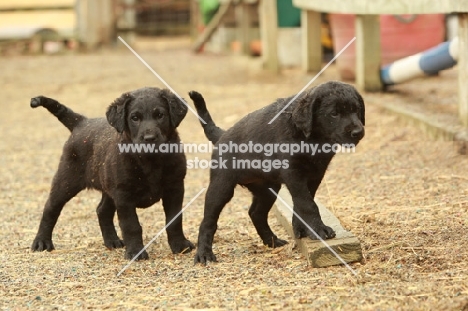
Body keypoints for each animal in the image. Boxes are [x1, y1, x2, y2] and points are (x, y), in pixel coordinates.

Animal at [29, 86, 194, 260]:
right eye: (135, 118)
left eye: (160, 115)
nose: (149, 138)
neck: (150, 162)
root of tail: (81, 122)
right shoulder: (124, 195)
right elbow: (131, 225)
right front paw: (135, 252)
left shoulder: (174, 187)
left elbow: (174, 220)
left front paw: (180, 245)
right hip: (66, 180)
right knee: (51, 208)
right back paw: (42, 242)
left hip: (108, 187)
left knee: (102, 211)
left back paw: (112, 241)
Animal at [189, 81, 366, 266]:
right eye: (334, 114)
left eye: (356, 110)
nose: (358, 132)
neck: (312, 139)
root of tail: (222, 135)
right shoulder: (294, 174)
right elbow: (307, 204)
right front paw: (318, 229)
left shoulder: (316, 174)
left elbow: (303, 203)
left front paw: (301, 229)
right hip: (221, 186)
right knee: (208, 221)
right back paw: (204, 254)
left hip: (268, 189)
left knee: (256, 213)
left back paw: (272, 241)